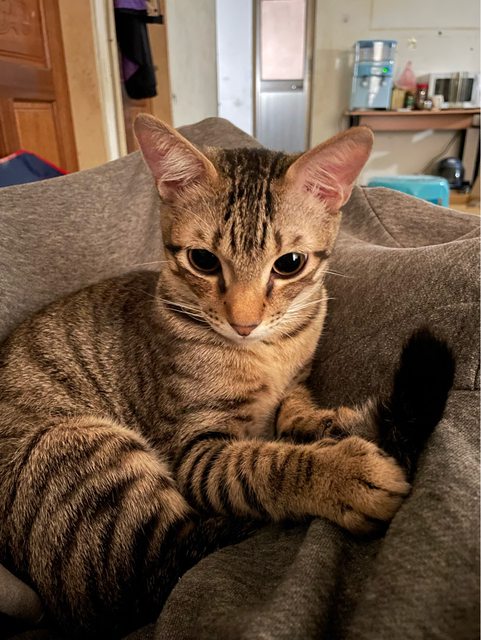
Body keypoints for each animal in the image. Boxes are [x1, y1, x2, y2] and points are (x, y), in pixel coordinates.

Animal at [0, 115, 454, 638]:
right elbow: (260, 464)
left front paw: (326, 422)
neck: (268, 353)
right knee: (166, 558)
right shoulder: (196, 450)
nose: (244, 323)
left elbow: (294, 409)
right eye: (203, 260)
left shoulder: (295, 382)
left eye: (289, 264)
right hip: (82, 447)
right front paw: (339, 471)